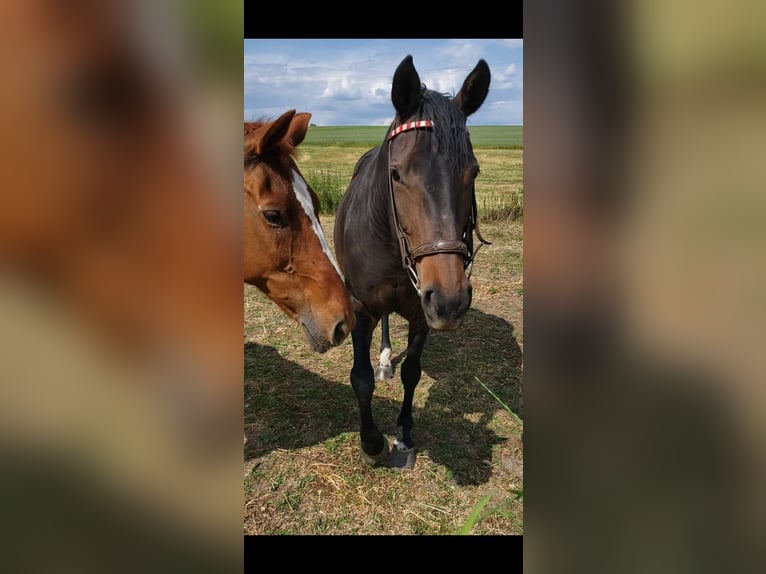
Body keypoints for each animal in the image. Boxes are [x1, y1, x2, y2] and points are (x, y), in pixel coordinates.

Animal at [334, 55, 492, 468]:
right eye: (396, 174)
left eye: (473, 172)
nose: (451, 300)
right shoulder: (361, 309)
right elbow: (360, 377)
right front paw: (372, 442)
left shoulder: (423, 313)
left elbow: (413, 373)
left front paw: (403, 433)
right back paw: (384, 357)